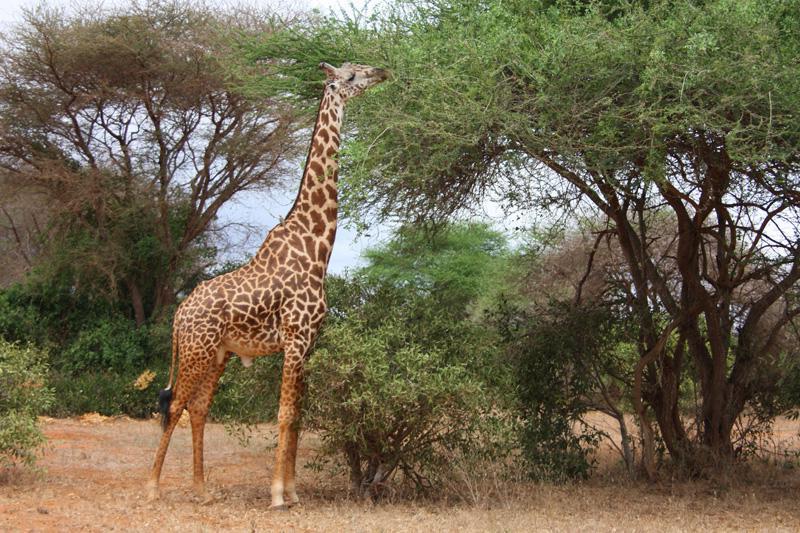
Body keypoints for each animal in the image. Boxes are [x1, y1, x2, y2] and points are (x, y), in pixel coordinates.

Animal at [146, 62, 389, 509]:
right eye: (350, 77)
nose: (381, 71)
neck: (318, 246)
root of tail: (179, 314)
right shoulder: (294, 339)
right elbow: (284, 414)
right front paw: (277, 495)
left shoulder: (309, 342)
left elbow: (298, 417)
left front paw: (292, 492)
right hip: (196, 350)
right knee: (174, 405)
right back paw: (152, 487)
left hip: (217, 353)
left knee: (198, 408)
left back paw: (202, 489)